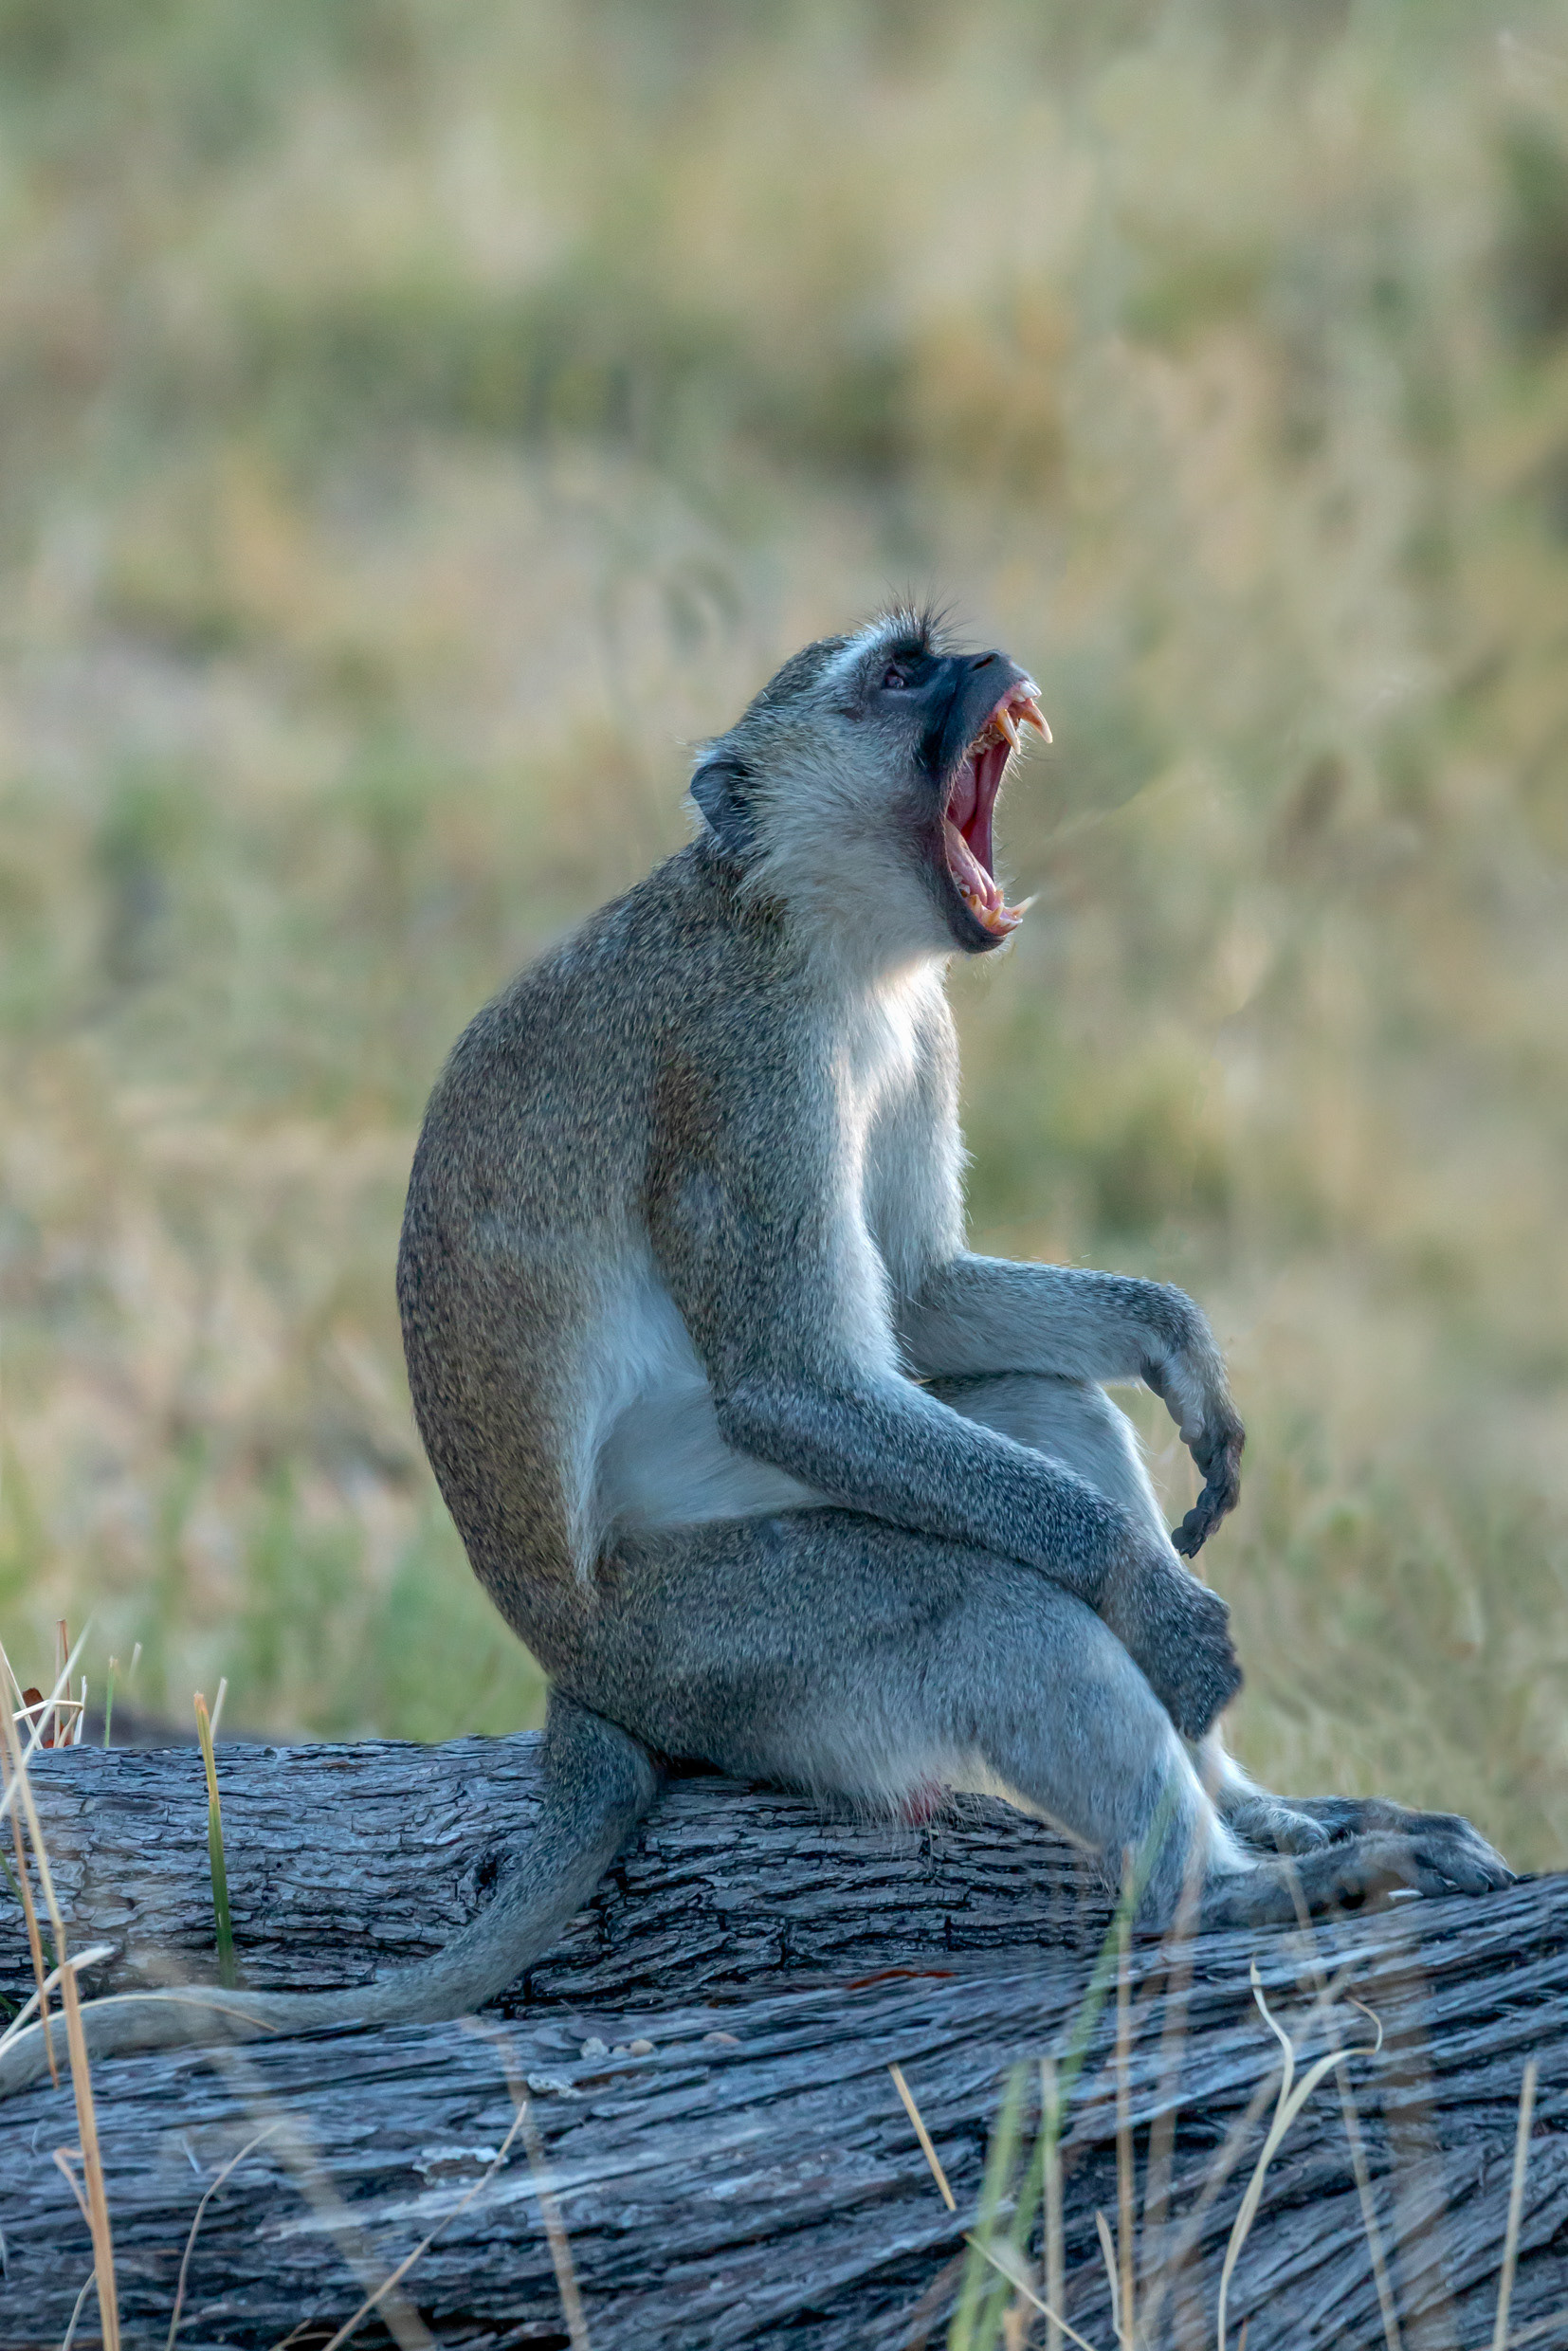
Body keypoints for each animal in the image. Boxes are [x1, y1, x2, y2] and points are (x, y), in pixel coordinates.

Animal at [0, 608, 1510, 2095]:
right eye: (899, 672)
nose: (990, 662)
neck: (808, 932)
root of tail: (573, 1670)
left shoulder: (918, 1031)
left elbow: (918, 1302)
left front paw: (1174, 1340)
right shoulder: (744, 1069)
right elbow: (797, 1384)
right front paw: (1152, 1596)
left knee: (1029, 1399)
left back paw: (1268, 1820)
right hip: (717, 1649)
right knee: (983, 1604)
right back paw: (1222, 1888)